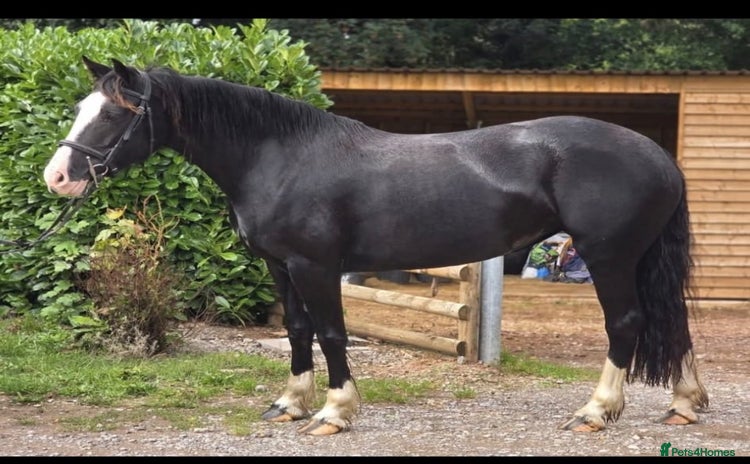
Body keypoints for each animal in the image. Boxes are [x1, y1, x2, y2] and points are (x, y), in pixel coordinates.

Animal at [42, 57, 709, 436]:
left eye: (114, 114)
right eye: (81, 106)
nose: (58, 177)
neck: (280, 155)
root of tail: (658, 156)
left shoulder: (316, 266)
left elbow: (333, 334)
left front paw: (334, 413)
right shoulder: (281, 267)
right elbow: (297, 331)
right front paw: (290, 404)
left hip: (609, 256)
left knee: (628, 324)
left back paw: (595, 413)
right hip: (638, 258)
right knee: (670, 322)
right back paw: (683, 404)